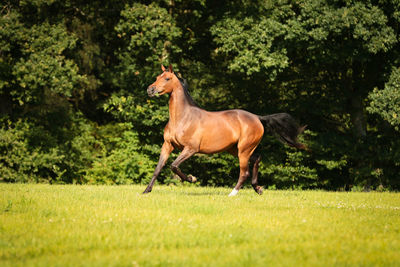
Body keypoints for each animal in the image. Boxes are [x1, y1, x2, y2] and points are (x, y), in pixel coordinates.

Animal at [142, 63, 304, 196]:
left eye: (167, 78)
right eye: (157, 77)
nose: (150, 89)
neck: (182, 118)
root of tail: (257, 118)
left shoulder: (191, 149)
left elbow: (174, 166)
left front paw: (192, 178)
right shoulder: (167, 146)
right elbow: (158, 168)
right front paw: (146, 191)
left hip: (243, 150)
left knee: (244, 172)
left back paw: (232, 193)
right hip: (236, 150)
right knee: (257, 159)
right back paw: (257, 188)